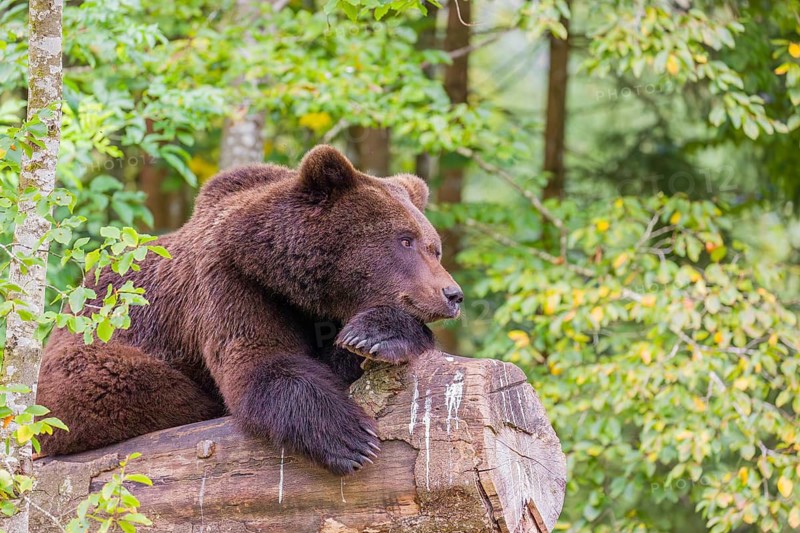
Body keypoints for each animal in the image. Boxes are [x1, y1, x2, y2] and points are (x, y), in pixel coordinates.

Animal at [37, 145, 463, 475]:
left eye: (434, 247)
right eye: (405, 240)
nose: (452, 294)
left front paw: (373, 336)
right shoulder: (230, 284)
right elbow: (259, 362)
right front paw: (351, 438)